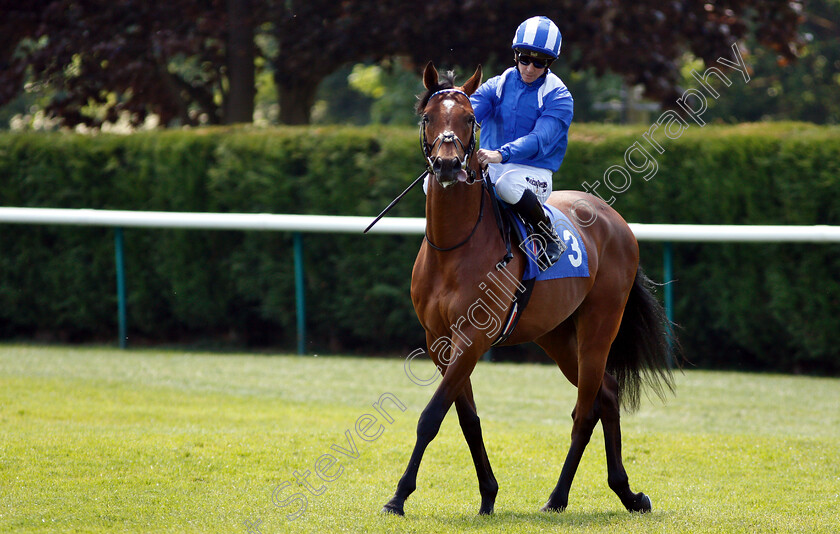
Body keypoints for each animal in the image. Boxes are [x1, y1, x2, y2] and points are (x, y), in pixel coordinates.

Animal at [384, 62, 680, 520]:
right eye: (428, 117)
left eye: (469, 118)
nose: (448, 166)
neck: (455, 247)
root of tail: (615, 222)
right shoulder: (440, 342)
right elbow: (466, 419)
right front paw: (488, 493)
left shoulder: (473, 338)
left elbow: (431, 416)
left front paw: (399, 496)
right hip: (556, 335)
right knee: (608, 394)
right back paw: (627, 493)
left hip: (597, 329)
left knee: (585, 411)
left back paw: (558, 497)